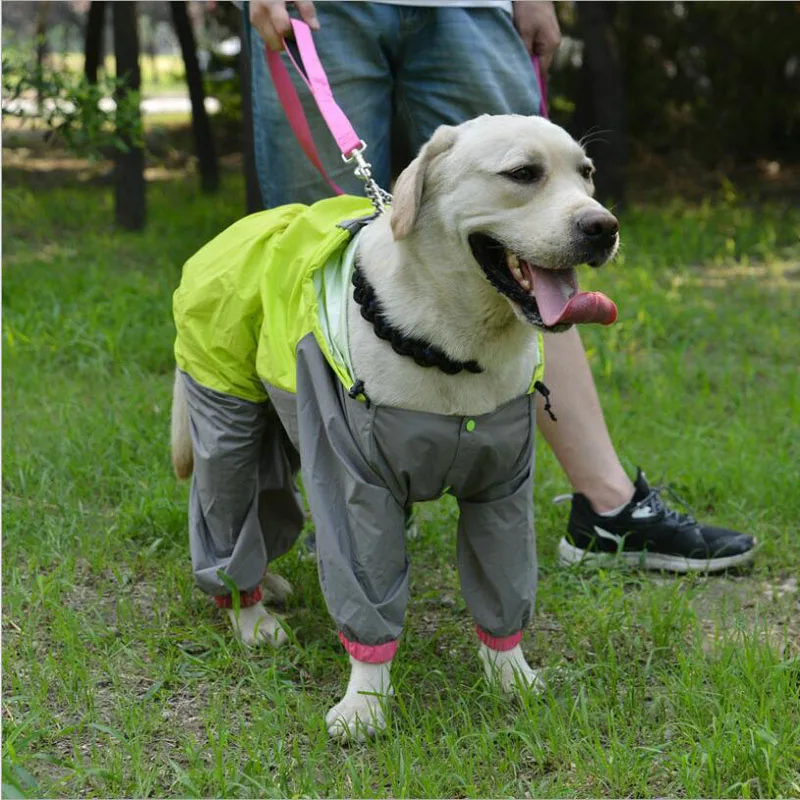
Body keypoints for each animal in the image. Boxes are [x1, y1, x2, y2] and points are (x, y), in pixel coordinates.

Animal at [170, 114, 620, 744]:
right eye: (522, 174)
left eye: (587, 174)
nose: (603, 227)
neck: (457, 350)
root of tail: (240, 227)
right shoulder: (354, 485)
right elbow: (366, 595)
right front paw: (365, 705)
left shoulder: (502, 489)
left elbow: (503, 587)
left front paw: (512, 678)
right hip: (228, 423)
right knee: (223, 514)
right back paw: (250, 612)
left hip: (280, 433)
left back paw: (270, 586)